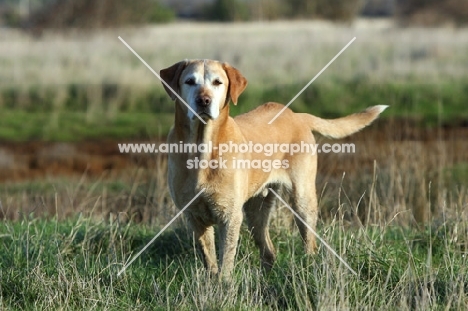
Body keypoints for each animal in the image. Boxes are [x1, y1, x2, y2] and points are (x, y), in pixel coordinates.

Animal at [161, 59, 388, 278]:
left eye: (218, 82)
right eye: (190, 81)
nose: (204, 101)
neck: (202, 148)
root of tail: (296, 115)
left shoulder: (230, 217)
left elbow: (226, 261)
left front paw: (224, 285)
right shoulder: (194, 217)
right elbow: (210, 260)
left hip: (303, 200)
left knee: (309, 244)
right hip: (257, 210)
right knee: (269, 251)